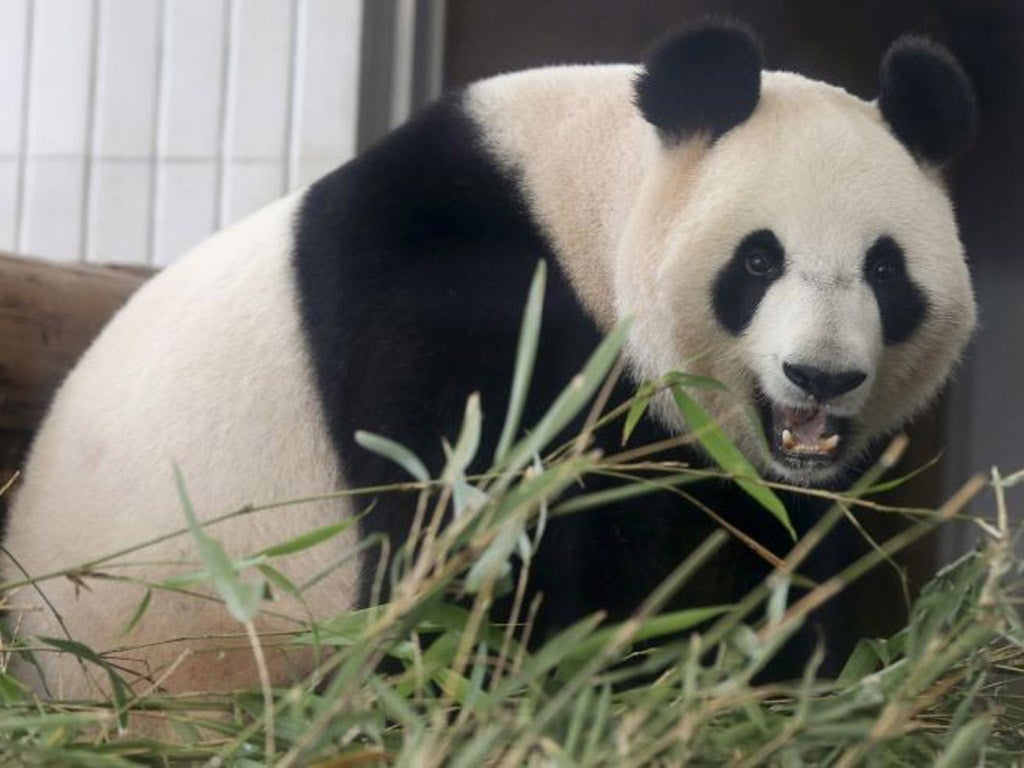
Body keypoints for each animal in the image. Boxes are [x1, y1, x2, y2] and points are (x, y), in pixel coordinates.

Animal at [0, 20, 974, 700]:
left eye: (885, 270)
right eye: (760, 261)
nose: (822, 375)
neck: (580, 206)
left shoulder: (737, 470)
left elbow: (762, 549)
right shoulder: (460, 295)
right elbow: (481, 541)